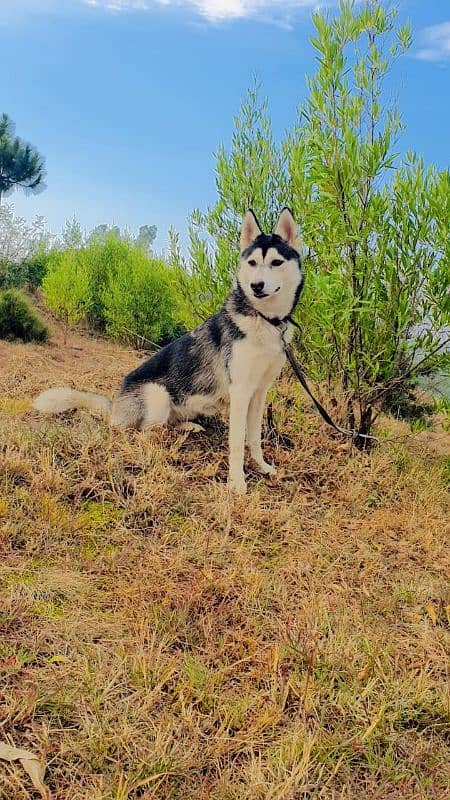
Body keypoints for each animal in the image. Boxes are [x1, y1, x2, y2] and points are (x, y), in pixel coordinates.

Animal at [34, 206, 302, 494]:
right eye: (252, 263)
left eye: (276, 263)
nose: (256, 285)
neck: (265, 320)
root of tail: (115, 405)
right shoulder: (240, 391)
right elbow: (237, 442)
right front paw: (237, 483)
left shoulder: (259, 392)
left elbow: (253, 438)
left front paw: (261, 467)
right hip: (157, 394)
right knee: (145, 431)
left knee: (170, 422)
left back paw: (187, 426)